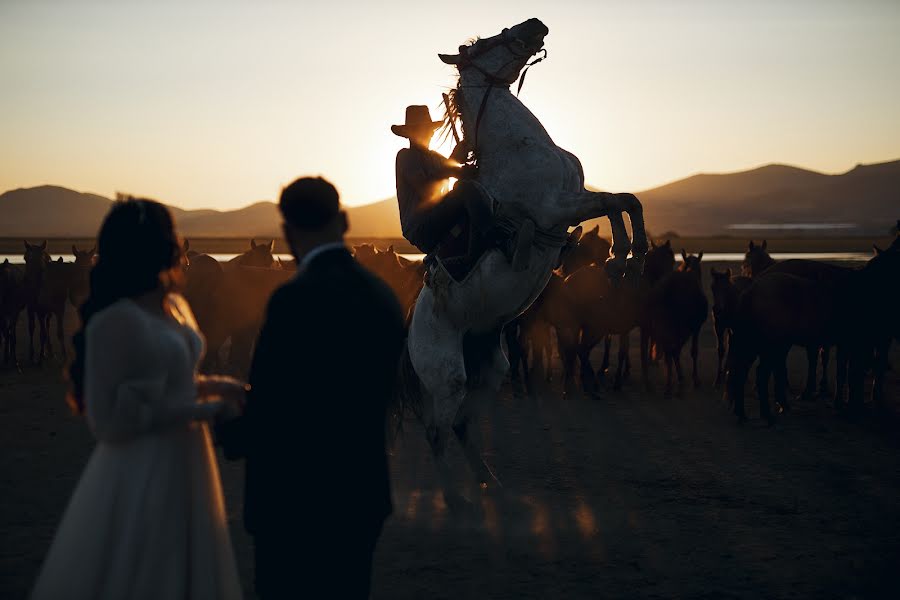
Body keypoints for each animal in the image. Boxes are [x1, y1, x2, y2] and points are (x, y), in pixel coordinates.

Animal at [402, 17, 648, 506]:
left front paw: (631, 253)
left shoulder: (574, 201)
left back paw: (489, 483)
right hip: (448, 377)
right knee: (437, 432)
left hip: (490, 368)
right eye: (477, 43)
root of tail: (409, 331)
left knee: (461, 425)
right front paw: (621, 257)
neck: (520, 146)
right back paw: (454, 499)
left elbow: (623, 200)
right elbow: (614, 201)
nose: (535, 24)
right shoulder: (556, 208)